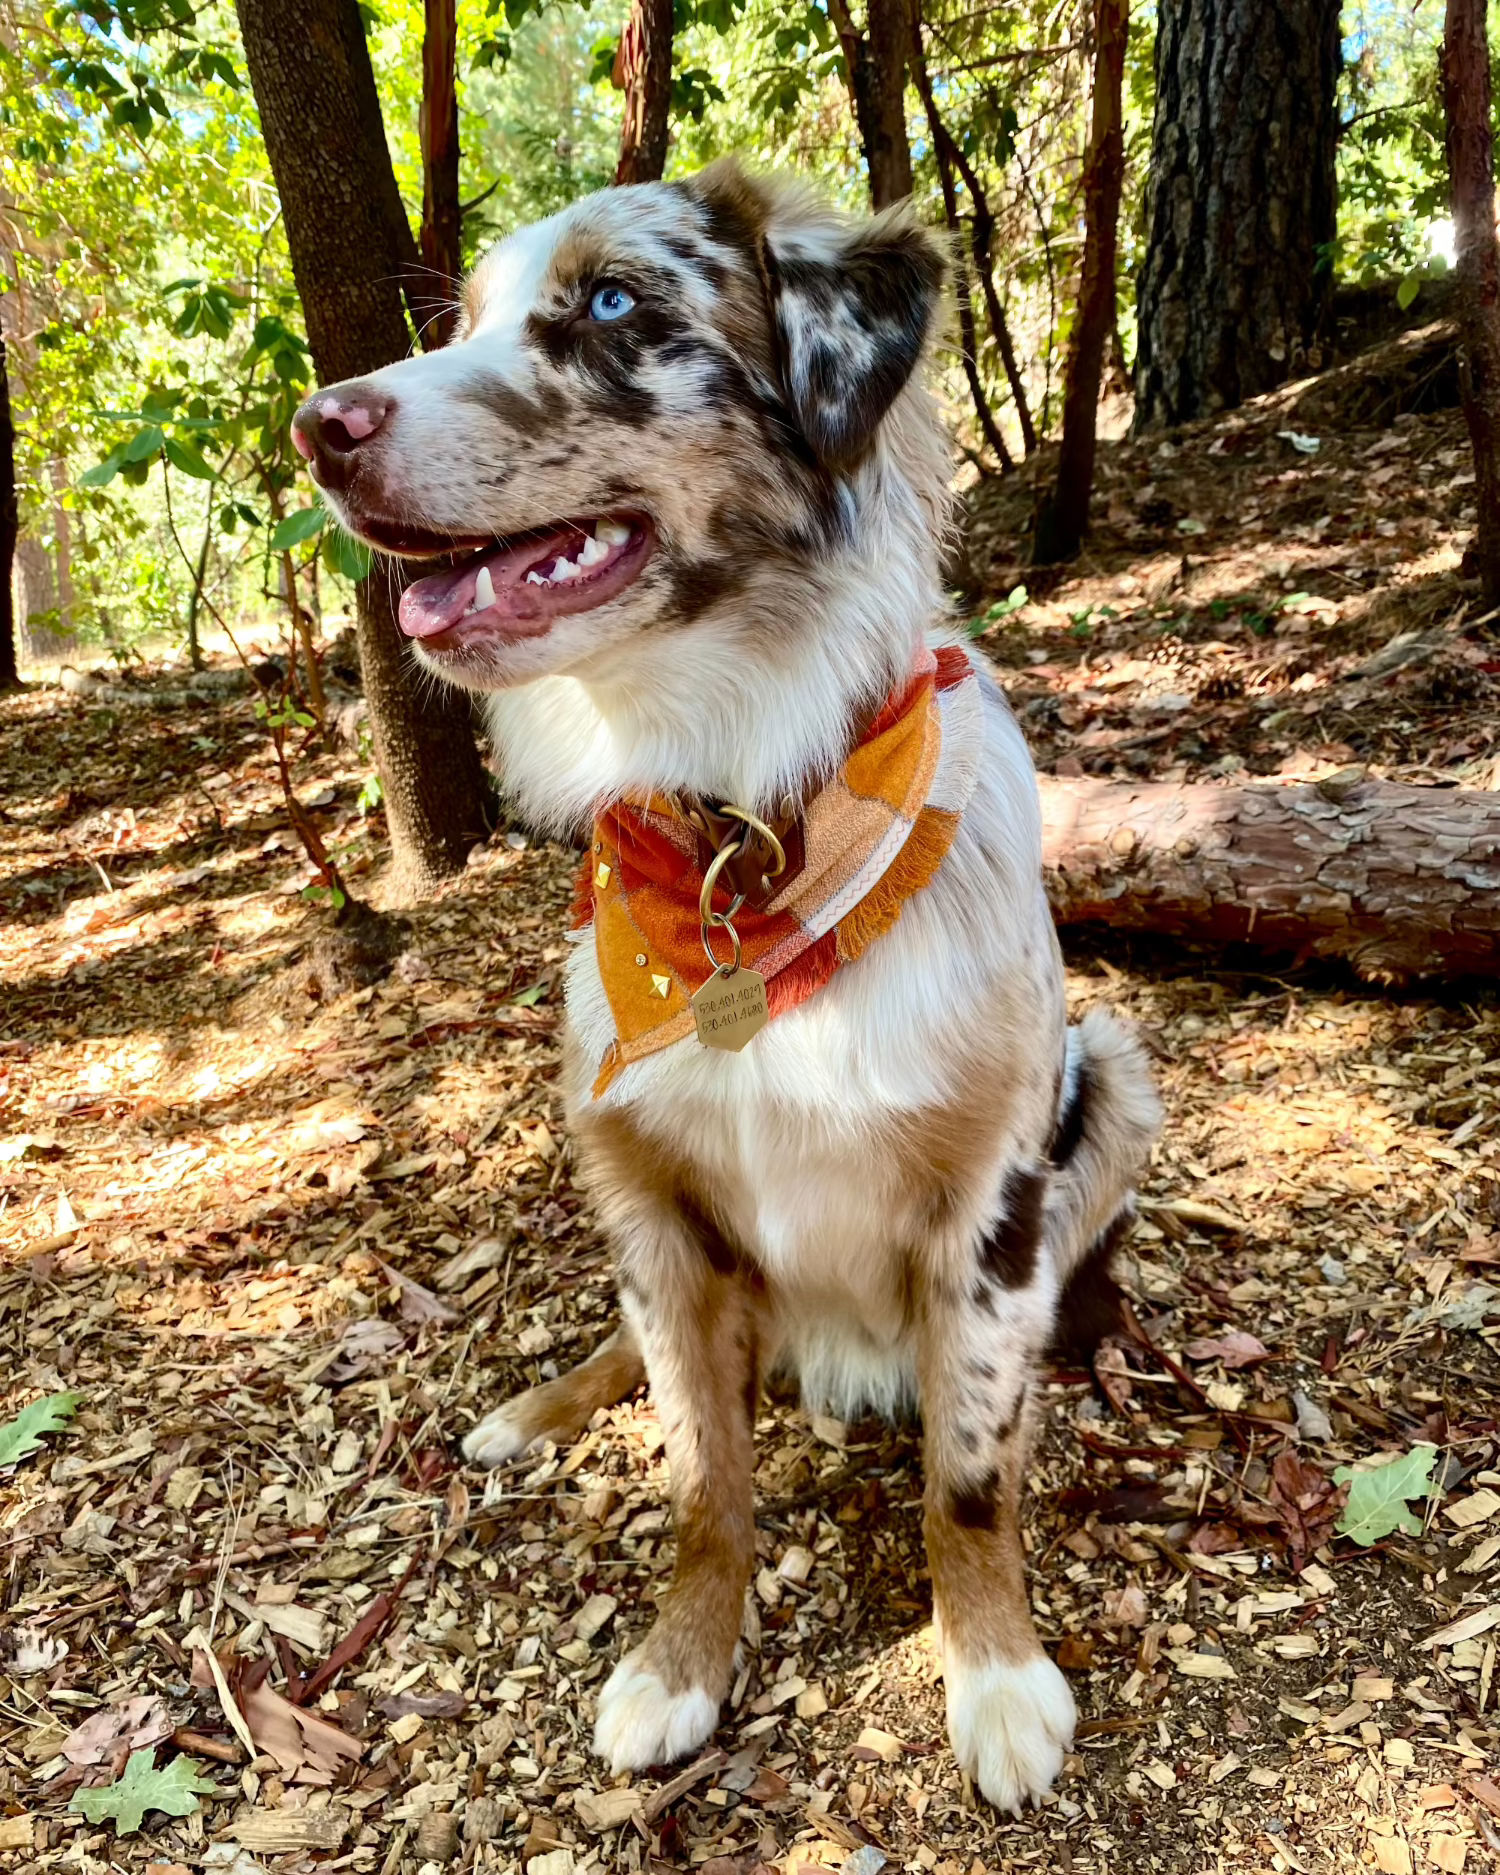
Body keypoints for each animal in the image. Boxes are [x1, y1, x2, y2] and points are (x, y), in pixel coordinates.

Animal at [292, 165, 1162, 1815]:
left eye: (614, 301)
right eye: (463, 319)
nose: (320, 423)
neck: (743, 824)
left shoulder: (990, 1205)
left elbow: (968, 1478)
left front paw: (997, 1672)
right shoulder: (650, 1197)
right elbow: (705, 1478)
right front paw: (680, 1660)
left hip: (1119, 1068)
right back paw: (533, 1406)